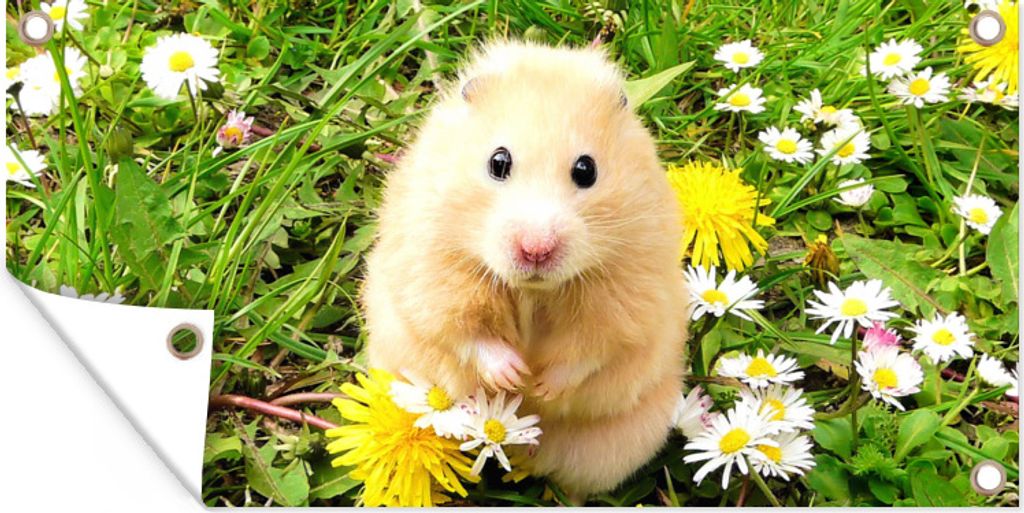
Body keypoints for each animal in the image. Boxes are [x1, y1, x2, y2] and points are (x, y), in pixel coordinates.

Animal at [361, 41, 689, 501]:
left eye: (586, 170)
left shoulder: (627, 295)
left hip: (612, 448)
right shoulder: (432, 272)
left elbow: (591, 350)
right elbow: (465, 333)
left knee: (573, 485)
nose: (536, 249)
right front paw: (514, 378)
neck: (534, 290)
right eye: (498, 162)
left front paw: (540, 389)